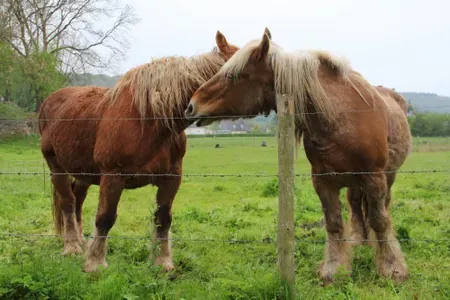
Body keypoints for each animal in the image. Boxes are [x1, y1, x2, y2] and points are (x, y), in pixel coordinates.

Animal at [38, 30, 239, 272]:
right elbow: (105, 218)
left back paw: (80, 241)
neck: (153, 120)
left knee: (78, 198)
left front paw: (163, 262)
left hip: (83, 171)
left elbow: (163, 218)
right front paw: (95, 262)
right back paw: (72, 247)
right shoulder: (113, 176)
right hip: (56, 167)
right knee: (67, 201)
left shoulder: (171, 178)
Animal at [185, 29, 412, 284]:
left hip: (387, 176)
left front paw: (392, 268)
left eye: (233, 75)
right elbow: (333, 223)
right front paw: (334, 269)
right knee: (355, 206)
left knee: (382, 207)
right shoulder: (322, 181)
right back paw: (358, 239)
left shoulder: (374, 177)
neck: (341, 119)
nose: (191, 106)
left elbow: (380, 220)